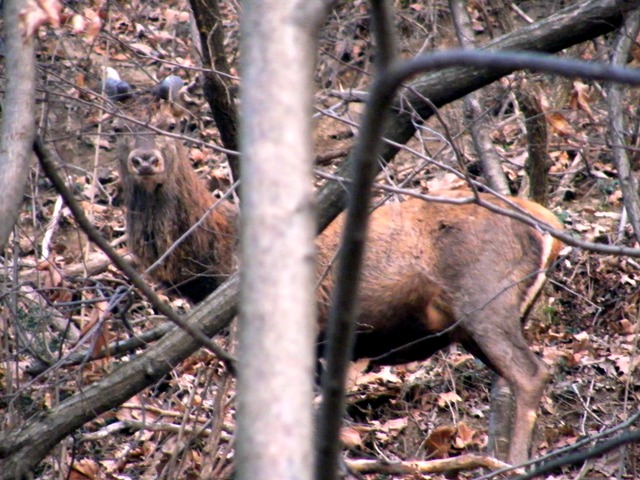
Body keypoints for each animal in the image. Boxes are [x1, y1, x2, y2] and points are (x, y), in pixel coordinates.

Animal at [112, 76, 564, 468]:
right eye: (117, 129)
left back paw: (517, 464)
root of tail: (548, 224)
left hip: (485, 295)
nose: (145, 159)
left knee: (530, 373)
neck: (219, 260)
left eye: (172, 126)